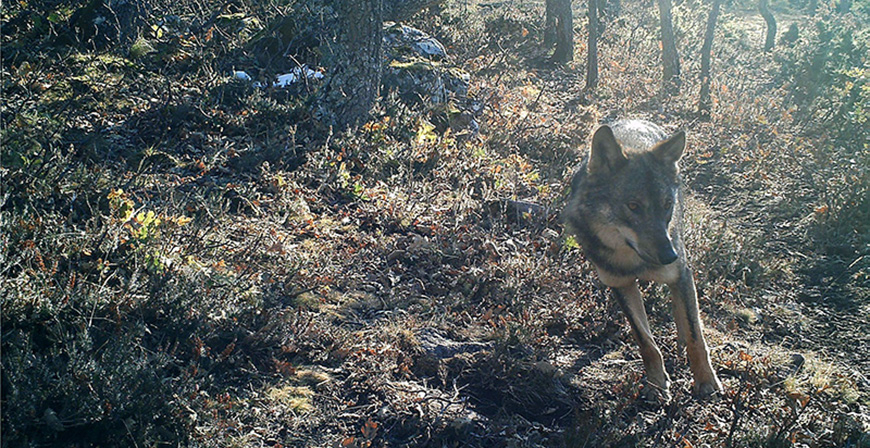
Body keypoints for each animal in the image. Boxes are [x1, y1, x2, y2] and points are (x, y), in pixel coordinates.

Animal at [564, 119, 724, 400]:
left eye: (667, 204)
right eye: (633, 206)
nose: (669, 256)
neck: (634, 261)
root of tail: (637, 118)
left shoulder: (681, 272)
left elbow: (696, 336)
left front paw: (706, 381)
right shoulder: (620, 284)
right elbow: (646, 341)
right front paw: (657, 385)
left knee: (685, 313)